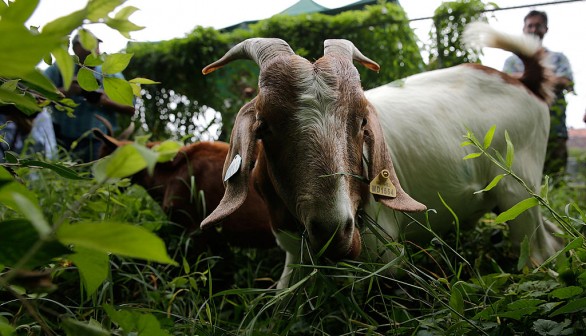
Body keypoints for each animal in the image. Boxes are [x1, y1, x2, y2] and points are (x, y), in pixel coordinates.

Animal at [200, 22, 560, 288]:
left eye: (362, 122)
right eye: (266, 126)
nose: (335, 231)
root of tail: (524, 81)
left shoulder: (383, 254)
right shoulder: (291, 253)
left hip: (518, 191)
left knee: (540, 252)